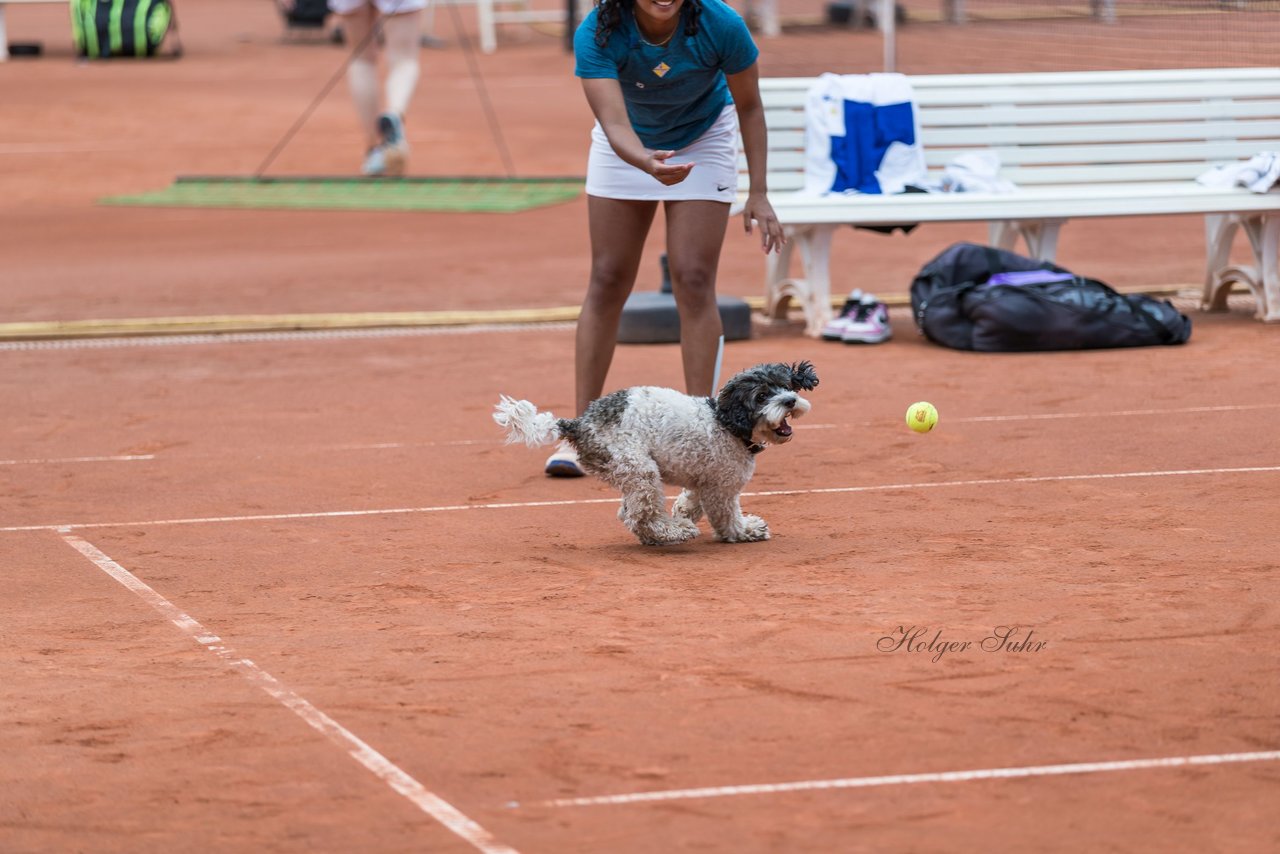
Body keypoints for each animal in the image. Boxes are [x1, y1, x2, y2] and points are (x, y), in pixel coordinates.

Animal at [494, 363, 814, 547]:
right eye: (761, 396)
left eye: (785, 385)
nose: (790, 400)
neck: (726, 422)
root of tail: (578, 423)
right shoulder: (721, 488)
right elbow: (726, 518)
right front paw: (745, 530)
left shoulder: (704, 480)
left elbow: (690, 501)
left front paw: (683, 512)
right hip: (639, 468)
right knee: (641, 517)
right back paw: (675, 532)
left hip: (630, 474)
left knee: (630, 514)